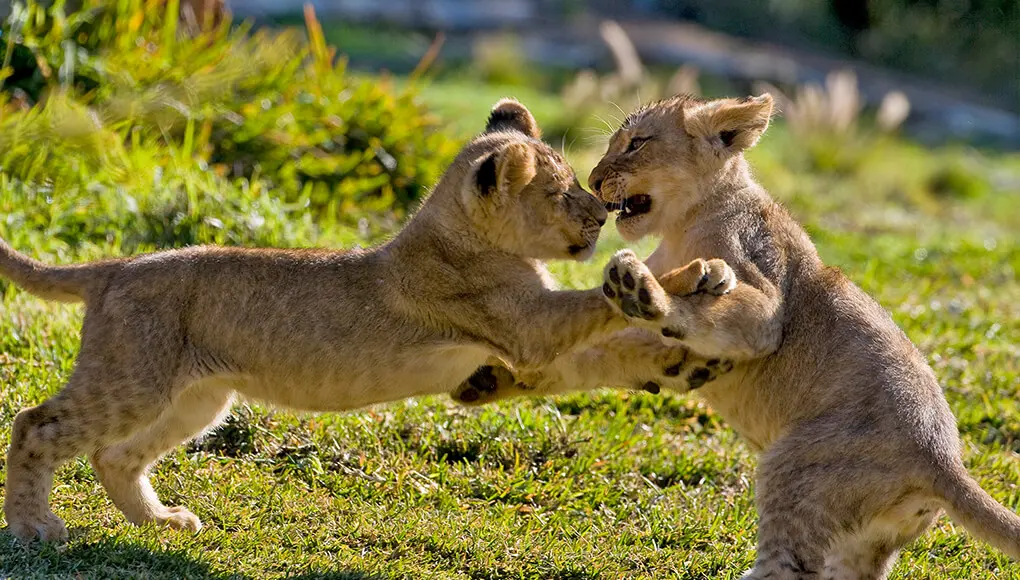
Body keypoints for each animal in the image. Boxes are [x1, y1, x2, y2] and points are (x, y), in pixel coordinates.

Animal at [0, 99, 684, 543]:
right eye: (562, 193)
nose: (601, 213)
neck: (455, 237)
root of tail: (114, 266)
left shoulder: (526, 344)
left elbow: (615, 349)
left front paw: (679, 347)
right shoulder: (526, 329)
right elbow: (596, 303)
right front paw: (671, 280)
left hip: (196, 397)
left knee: (114, 456)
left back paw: (162, 522)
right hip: (134, 381)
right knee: (34, 424)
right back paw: (35, 527)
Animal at [586, 93, 1020, 578]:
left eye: (637, 143)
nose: (592, 181)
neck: (684, 222)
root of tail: (943, 462)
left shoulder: (763, 299)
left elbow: (708, 311)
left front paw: (646, 295)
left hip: (795, 469)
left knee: (783, 565)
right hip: (862, 538)